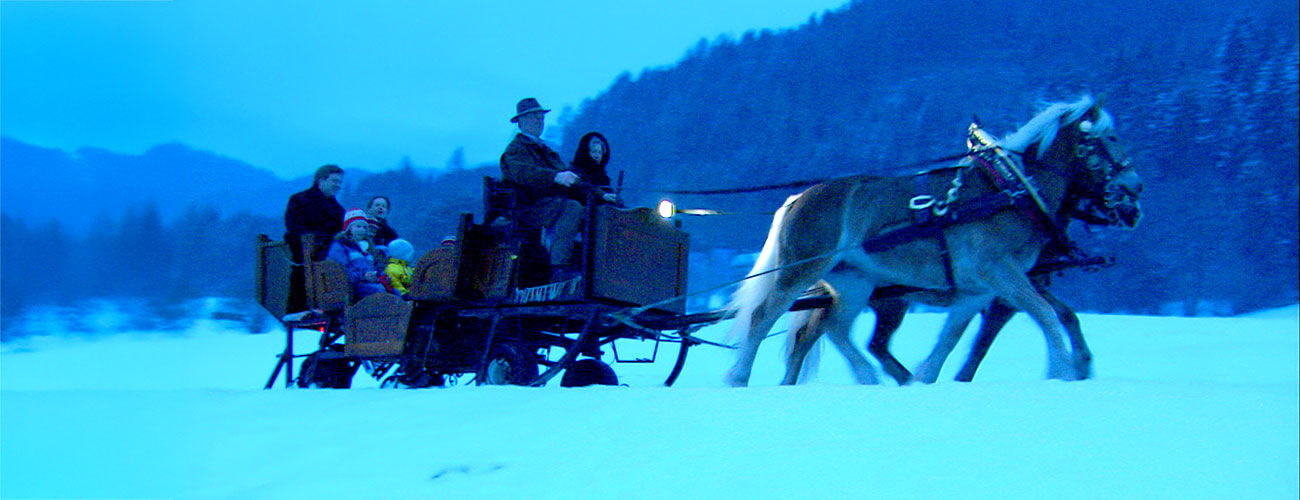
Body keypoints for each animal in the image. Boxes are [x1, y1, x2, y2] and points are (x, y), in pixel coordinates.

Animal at [725, 95, 1142, 386]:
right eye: (1112, 137)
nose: (1136, 189)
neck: (1013, 189)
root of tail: (799, 198)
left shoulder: (979, 288)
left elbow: (953, 336)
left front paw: (924, 378)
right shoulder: (1002, 274)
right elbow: (1044, 315)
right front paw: (1064, 369)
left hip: (855, 280)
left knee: (834, 327)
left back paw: (865, 377)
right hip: (803, 270)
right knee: (764, 317)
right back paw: (739, 377)